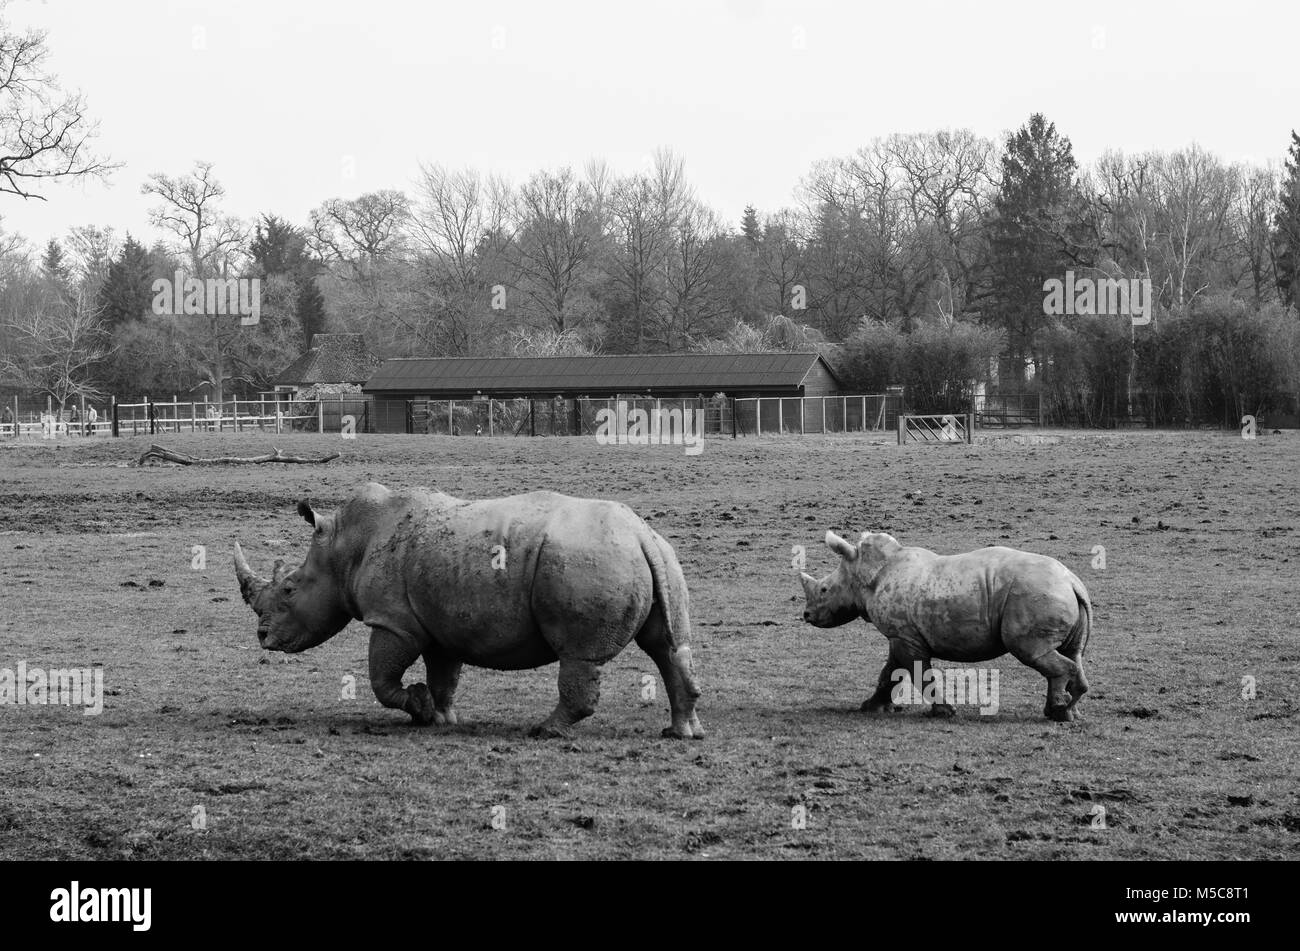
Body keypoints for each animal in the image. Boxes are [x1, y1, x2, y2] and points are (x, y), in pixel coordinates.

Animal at [233, 478, 702, 737]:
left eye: (289, 589)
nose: (262, 637)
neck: (342, 549)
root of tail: (639, 535)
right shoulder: (437, 623)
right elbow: (444, 675)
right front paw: (440, 717)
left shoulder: (393, 621)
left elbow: (381, 679)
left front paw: (419, 708)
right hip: (661, 558)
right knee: (668, 647)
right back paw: (680, 733)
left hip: (586, 561)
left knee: (578, 655)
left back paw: (545, 731)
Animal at [795, 527, 1092, 722]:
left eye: (824, 590)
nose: (807, 615)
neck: (865, 573)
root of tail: (1072, 582)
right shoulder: (901, 635)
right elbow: (889, 673)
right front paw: (870, 707)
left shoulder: (904, 636)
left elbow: (917, 673)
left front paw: (944, 712)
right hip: (1054, 594)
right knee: (1072, 653)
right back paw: (1069, 712)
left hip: (1035, 595)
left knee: (1033, 651)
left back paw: (1059, 714)